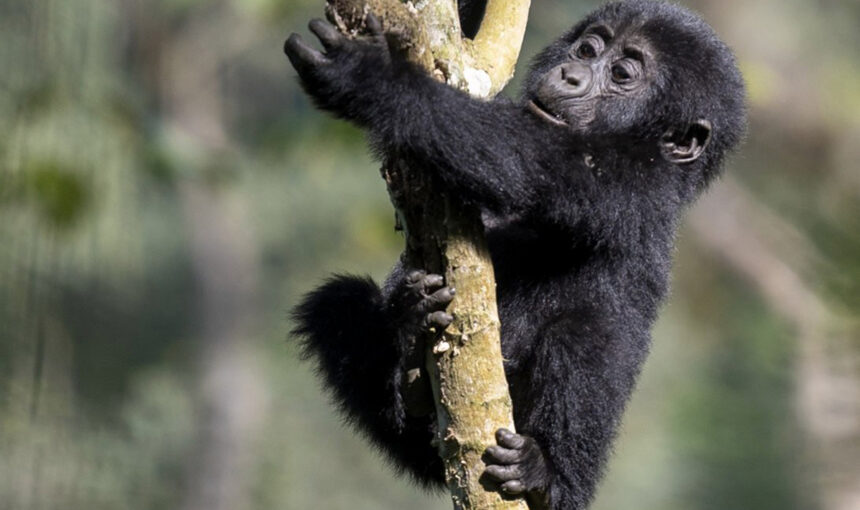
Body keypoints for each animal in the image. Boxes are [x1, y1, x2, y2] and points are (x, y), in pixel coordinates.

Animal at [286, 0, 744, 510]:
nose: (572, 74)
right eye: (589, 49)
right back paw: (409, 343)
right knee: (336, 303)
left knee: (584, 337)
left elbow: (525, 161)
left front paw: (372, 79)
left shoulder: (628, 179)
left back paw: (545, 473)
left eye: (623, 74)